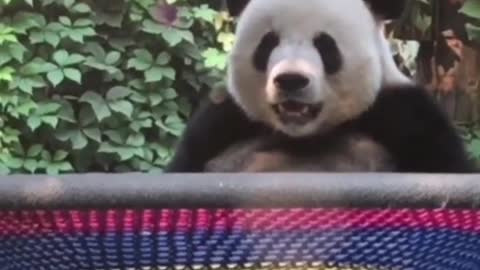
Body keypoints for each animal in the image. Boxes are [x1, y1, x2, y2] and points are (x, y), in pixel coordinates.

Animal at [167, 0, 474, 173]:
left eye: (325, 45)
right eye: (268, 43)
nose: (291, 79)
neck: (303, 135)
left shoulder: (405, 116)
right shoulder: (224, 122)